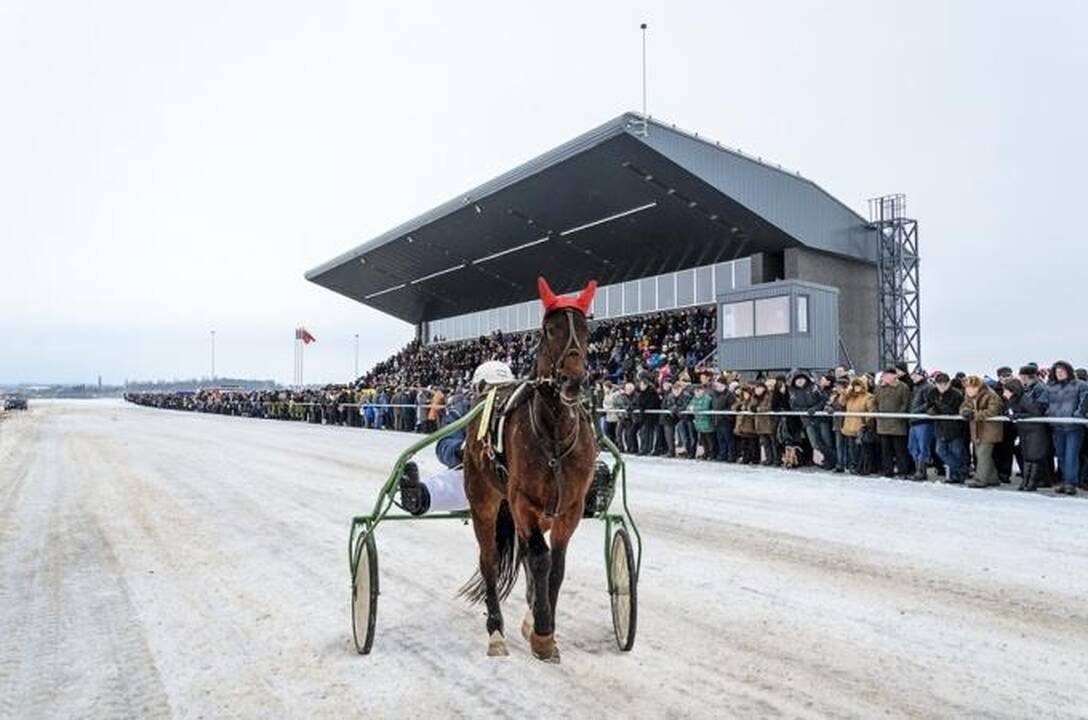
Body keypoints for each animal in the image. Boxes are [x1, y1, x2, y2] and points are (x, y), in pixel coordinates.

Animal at [456, 277, 600, 665]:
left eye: (586, 329)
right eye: (549, 329)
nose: (572, 382)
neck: (554, 436)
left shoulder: (569, 509)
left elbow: (557, 566)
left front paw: (539, 622)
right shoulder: (522, 501)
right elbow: (539, 558)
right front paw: (543, 634)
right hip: (485, 499)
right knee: (489, 558)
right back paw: (496, 631)